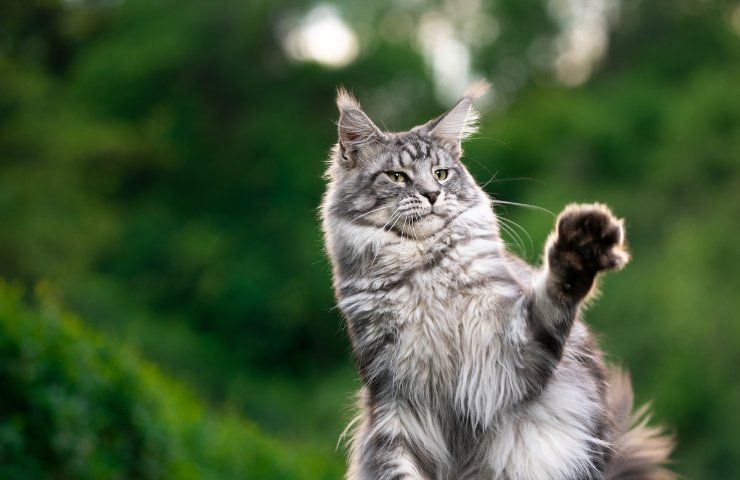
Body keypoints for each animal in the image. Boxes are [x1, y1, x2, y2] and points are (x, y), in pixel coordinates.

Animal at [320, 83, 672, 480]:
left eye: (441, 174)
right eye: (397, 177)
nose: (432, 194)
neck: (423, 269)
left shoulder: (506, 358)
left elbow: (553, 298)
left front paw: (581, 246)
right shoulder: (394, 400)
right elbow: (397, 468)